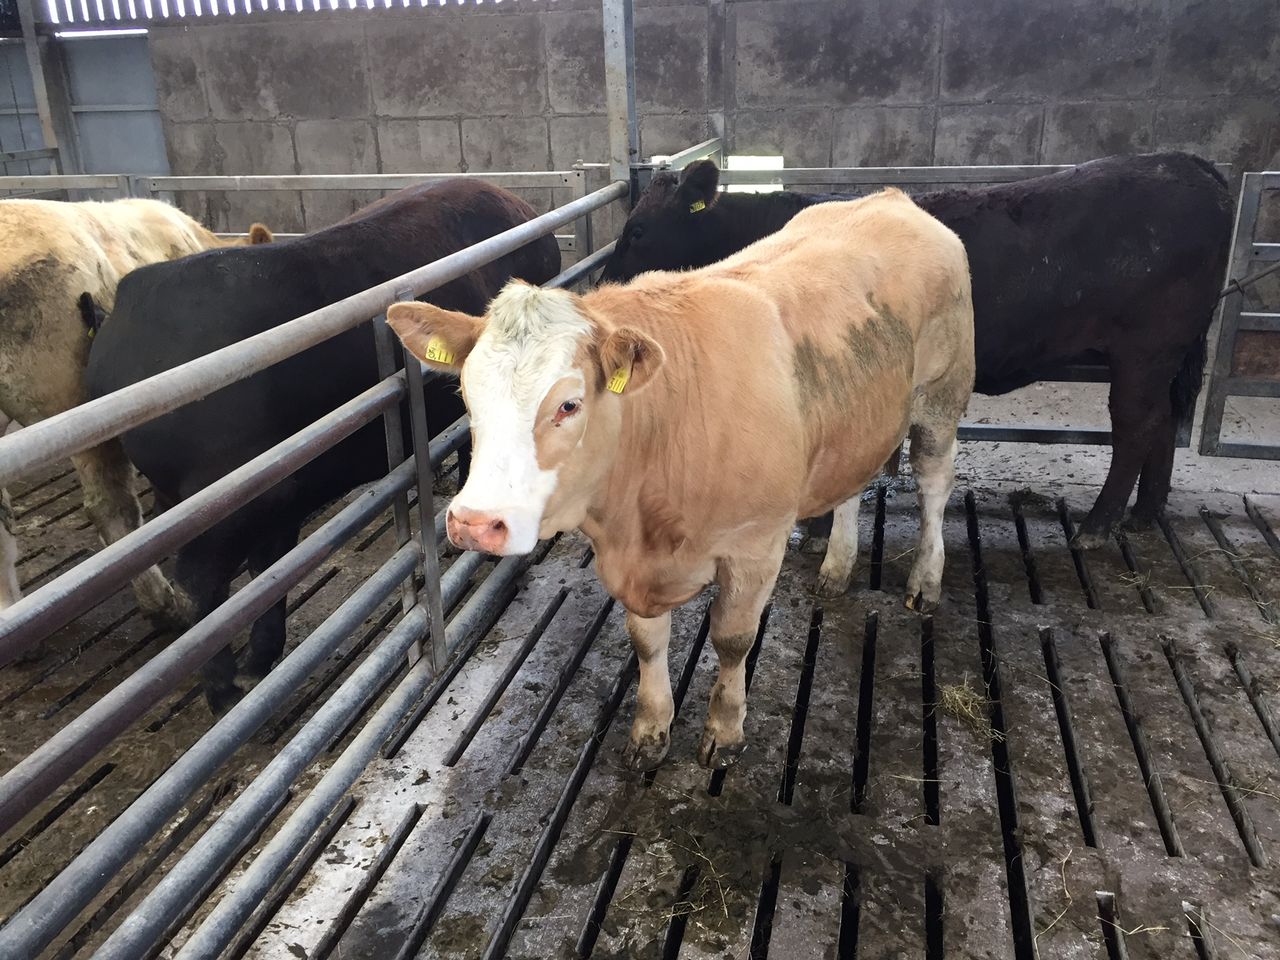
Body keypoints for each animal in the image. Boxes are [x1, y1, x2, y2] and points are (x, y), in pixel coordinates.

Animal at [386, 189, 975, 770]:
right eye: (467, 394)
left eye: (569, 404)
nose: (474, 523)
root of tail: (891, 197)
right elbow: (646, 641)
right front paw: (651, 727)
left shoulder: (756, 546)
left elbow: (733, 639)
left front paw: (726, 730)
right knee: (852, 487)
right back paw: (837, 566)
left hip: (941, 399)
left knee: (934, 486)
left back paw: (925, 580)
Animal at [601, 153, 1232, 549]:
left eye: (637, 231)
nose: (601, 288)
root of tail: (1186, 163)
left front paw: (818, 532)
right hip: (1159, 358)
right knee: (1160, 425)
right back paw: (1144, 516)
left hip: (1144, 351)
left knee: (1136, 427)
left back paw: (1100, 524)